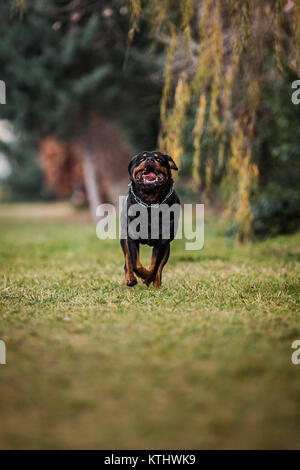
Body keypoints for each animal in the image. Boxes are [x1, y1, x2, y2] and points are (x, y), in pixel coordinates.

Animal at [120, 151, 180, 290]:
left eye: (159, 158)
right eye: (142, 158)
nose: (150, 159)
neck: (150, 202)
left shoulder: (162, 242)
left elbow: (155, 266)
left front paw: (148, 277)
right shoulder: (131, 238)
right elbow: (135, 264)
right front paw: (142, 276)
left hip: (167, 247)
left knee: (159, 266)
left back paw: (157, 284)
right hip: (124, 237)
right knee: (127, 258)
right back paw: (130, 278)